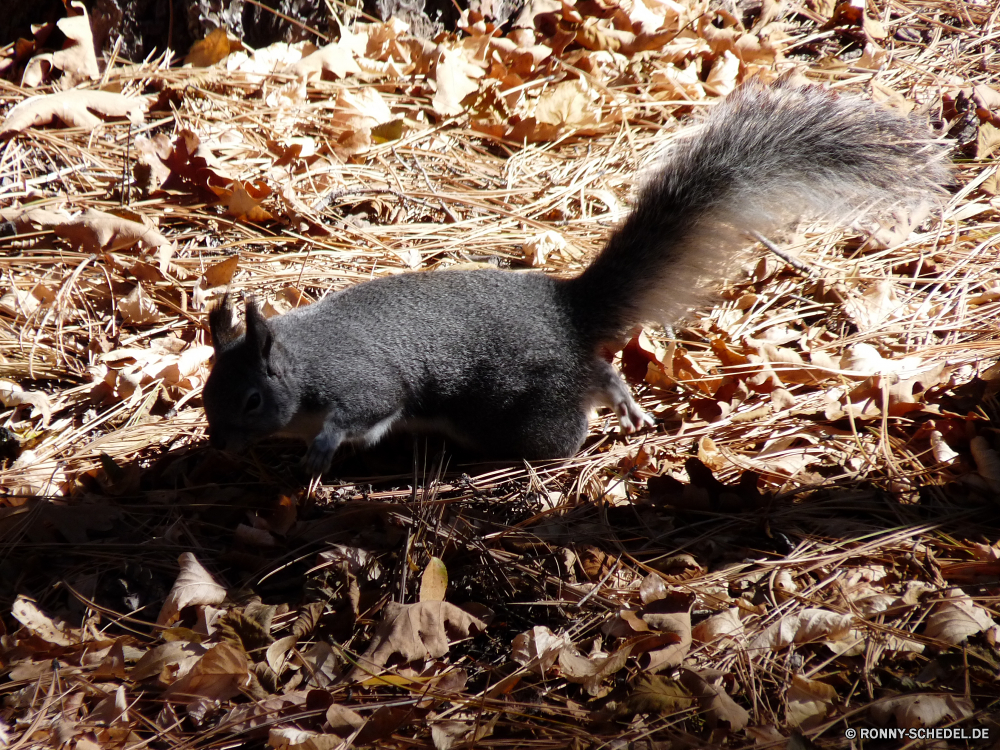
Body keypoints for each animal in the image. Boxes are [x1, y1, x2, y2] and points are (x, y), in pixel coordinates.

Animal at [201, 79, 944, 472]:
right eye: (208, 391)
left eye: (250, 400)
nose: (218, 442)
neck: (301, 361)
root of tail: (567, 305)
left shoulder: (363, 385)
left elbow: (363, 412)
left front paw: (318, 453)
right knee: (605, 369)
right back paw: (631, 405)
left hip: (525, 411)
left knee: (584, 388)